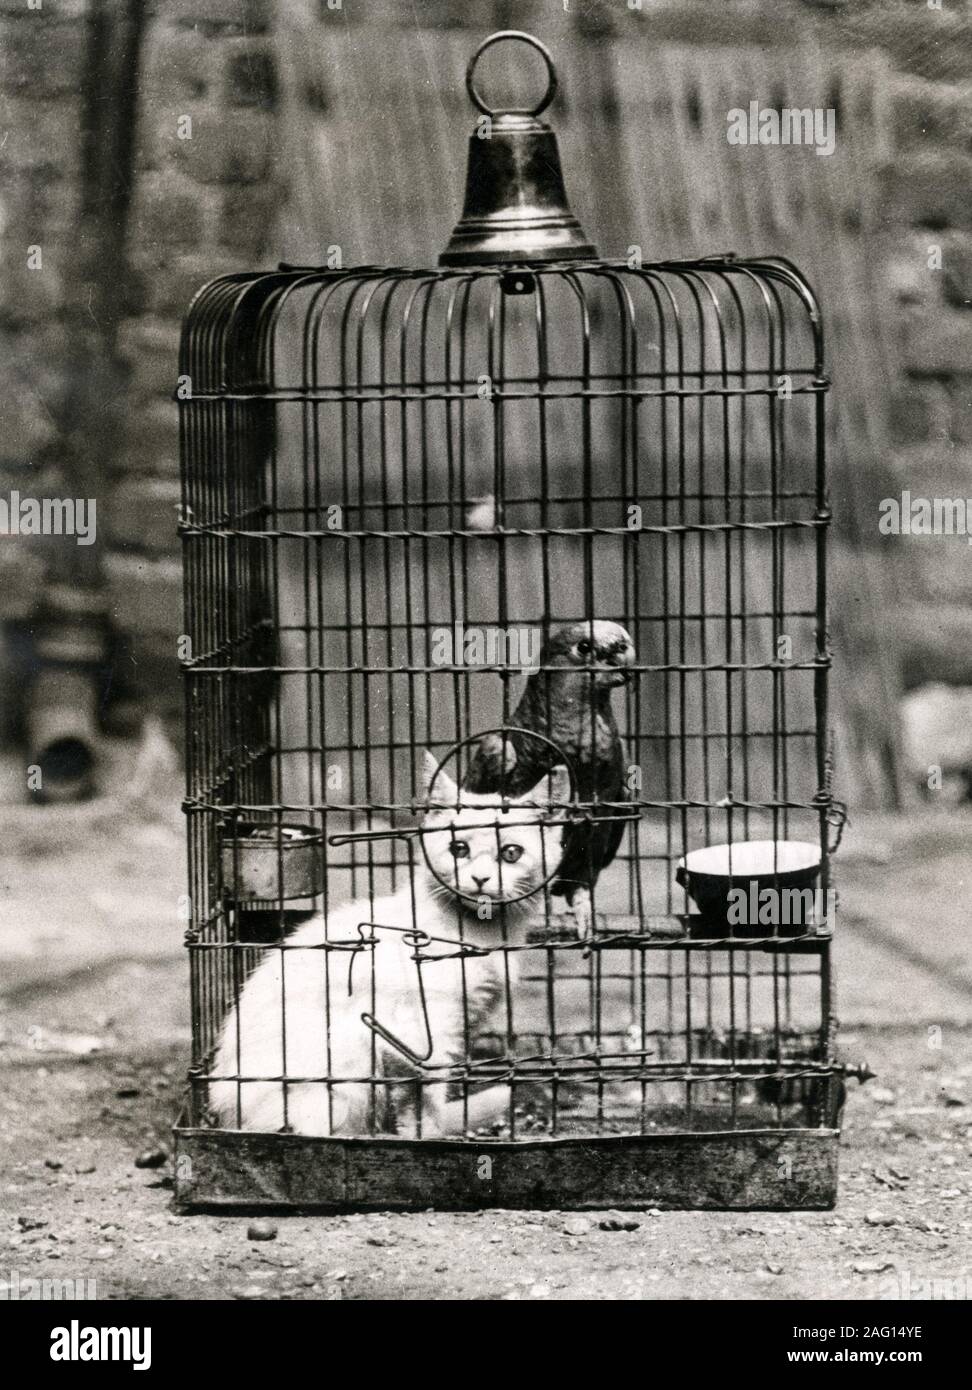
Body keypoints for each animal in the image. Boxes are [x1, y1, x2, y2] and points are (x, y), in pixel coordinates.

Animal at [208, 756, 567, 1134]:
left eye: (511, 853)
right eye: (459, 849)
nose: (480, 879)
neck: (482, 934)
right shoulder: (418, 1031)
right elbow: (421, 1099)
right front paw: (427, 1135)